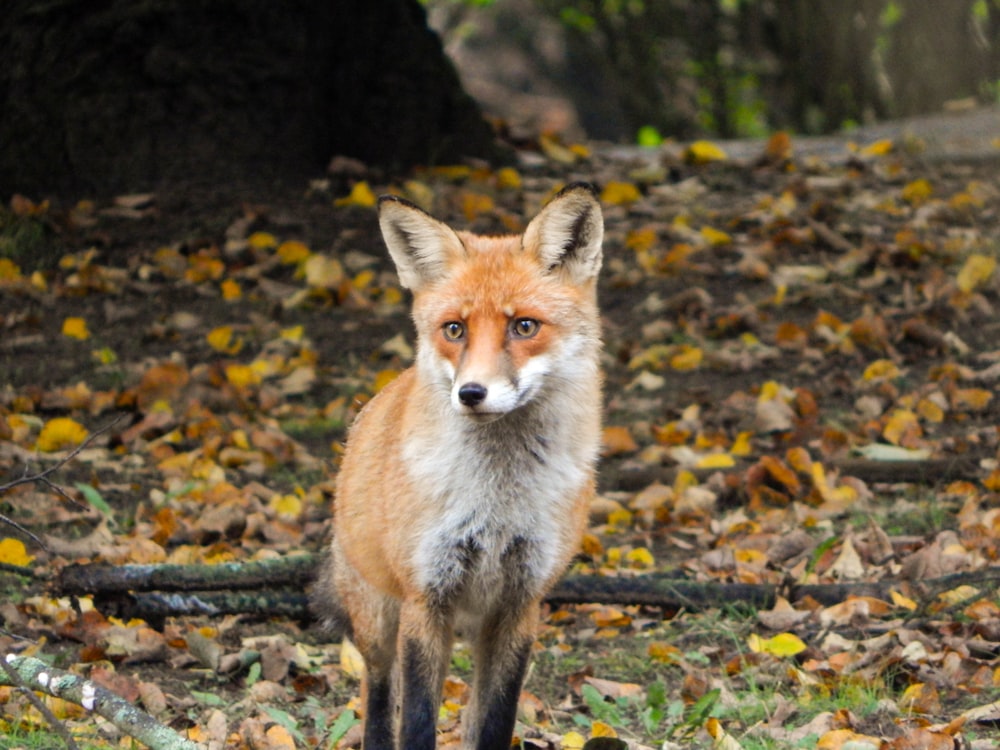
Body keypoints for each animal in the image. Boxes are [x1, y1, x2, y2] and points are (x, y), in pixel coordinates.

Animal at [316, 182, 604, 750]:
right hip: (378, 617)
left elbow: (493, 722)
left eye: (524, 326)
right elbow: (416, 722)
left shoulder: (520, 604)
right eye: (454, 329)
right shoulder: (426, 598)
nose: (471, 393)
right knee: (377, 693)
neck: (497, 502)